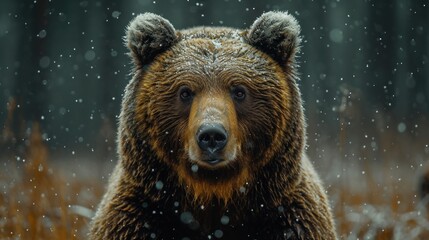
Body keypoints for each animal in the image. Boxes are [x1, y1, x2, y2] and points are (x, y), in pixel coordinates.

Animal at [89, 11, 338, 240]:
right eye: (185, 92)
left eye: (239, 91)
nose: (211, 135)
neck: (211, 195)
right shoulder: (140, 214)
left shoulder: (287, 216)